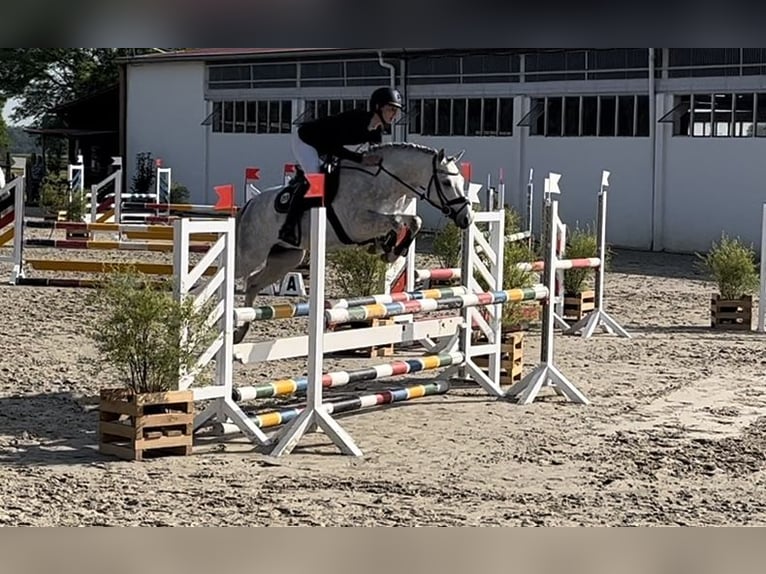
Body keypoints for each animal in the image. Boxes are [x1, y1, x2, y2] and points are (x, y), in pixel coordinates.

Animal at [234, 142, 474, 344]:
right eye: (446, 182)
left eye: (462, 182)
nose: (467, 218)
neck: (381, 183)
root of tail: (250, 205)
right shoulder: (357, 224)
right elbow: (397, 222)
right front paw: (388, 249)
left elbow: (414, 221)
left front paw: (390, 249)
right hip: (251, 255)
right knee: (235, 273)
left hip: (286, 258)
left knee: (253, 283)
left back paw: (240, 332)